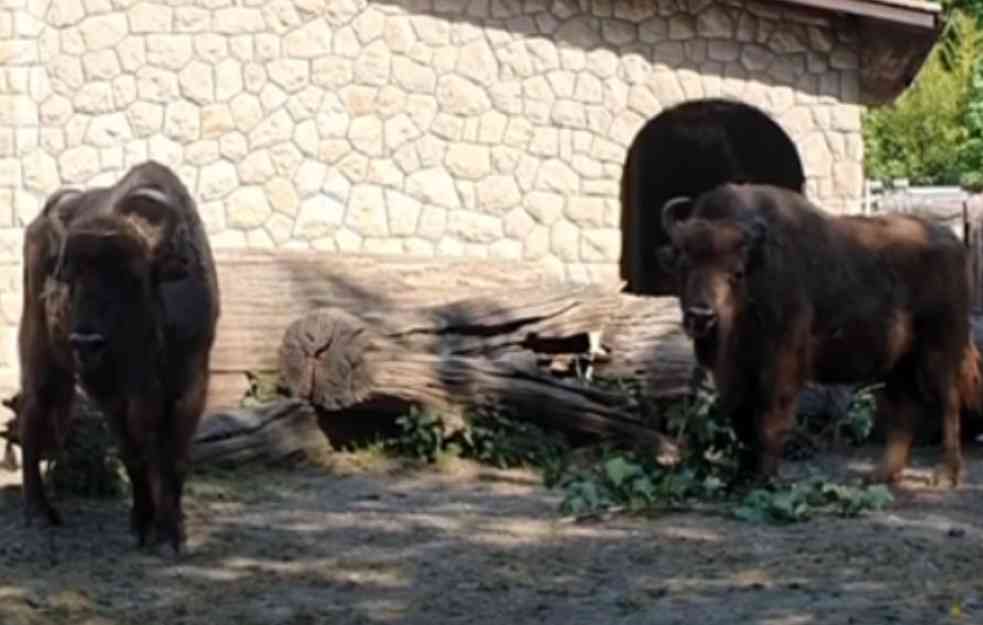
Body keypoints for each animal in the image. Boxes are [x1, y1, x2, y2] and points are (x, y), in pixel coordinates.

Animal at [18, 160, 221, 552]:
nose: (85, 341)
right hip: (41, 355)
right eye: (69, 277)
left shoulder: (192, 379)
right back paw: (39, 513)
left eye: (130, 276)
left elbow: (174, 454)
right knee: (33, 412)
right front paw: (146, 527)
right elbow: (135, 452)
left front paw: (172, 532)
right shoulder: (111, 391)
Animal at [656, 183, 980, 486]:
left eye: (735, 272)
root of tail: (954, 242)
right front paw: (741, 477)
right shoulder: (735, 374)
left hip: (940, 350)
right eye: (683, 265)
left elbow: (769, 421)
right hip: (895, 363)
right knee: (905, 409)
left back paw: (945, 474)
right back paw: (880, 475)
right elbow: (742, 421)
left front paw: (765, 479)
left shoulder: (781, 366)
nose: (701, 315)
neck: (758, 266)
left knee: (948, 402)